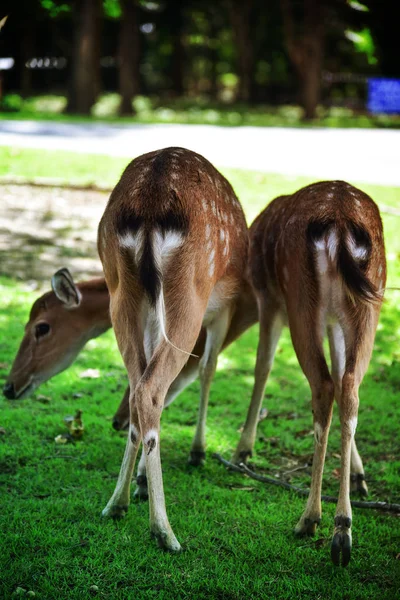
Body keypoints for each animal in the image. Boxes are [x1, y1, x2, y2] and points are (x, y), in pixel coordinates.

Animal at [95, 148, 248, 552]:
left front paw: (140, 482)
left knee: (140, 384)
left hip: (121, 292)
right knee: (151, 388)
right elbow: (209, 369)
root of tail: (151, 201)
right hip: (190, 292)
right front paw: (198, 451)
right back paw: (163, 530)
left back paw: (116, 504)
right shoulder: (224, 310)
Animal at [233, 180, 386, 564]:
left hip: (300, 299)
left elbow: (262, 366)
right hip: (366, 306)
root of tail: (341, 222)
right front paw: (360, 474)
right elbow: (343, 376)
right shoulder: (333, 322)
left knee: (323, 387)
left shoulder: (268, 299)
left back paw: (312, 520)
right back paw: (343, 525)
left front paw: (243, 449)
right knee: (349, 387)